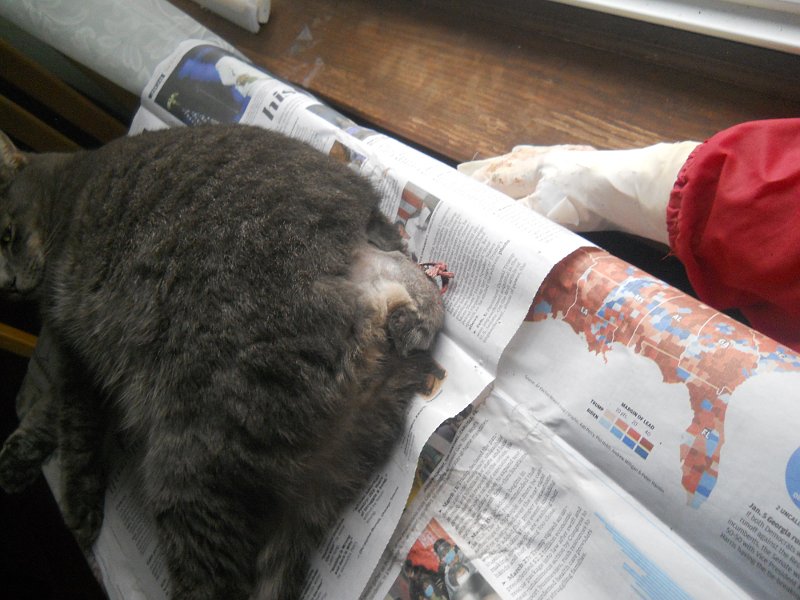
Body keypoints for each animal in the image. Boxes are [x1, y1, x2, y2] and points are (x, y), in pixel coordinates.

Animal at [0, 124, 445, 599]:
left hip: (194, 460)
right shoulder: (72, 355)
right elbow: (50, 409)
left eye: (5, 236)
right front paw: (23, 452)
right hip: (326, 478)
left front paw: (74, 498)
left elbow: (73, 426)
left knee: (214, 581)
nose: (7, 285)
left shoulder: (72, 348)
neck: (69, 187)